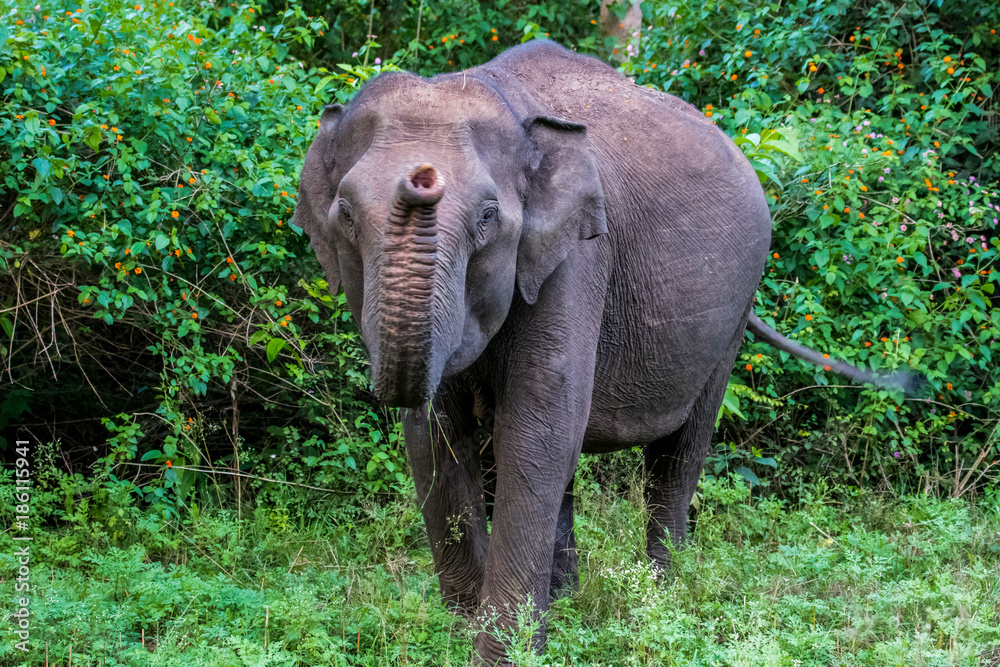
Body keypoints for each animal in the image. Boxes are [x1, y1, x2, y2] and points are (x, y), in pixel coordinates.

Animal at [293, 40, 912, 665]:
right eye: (346, 214)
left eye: (488, 217)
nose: (421, 177)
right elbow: (437, 437)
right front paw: (463, 631)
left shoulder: (580, 258)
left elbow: (535, 431)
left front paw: (503, 651)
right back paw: (568, 597)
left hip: (735, 307)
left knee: (679, 451)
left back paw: (663, 594)